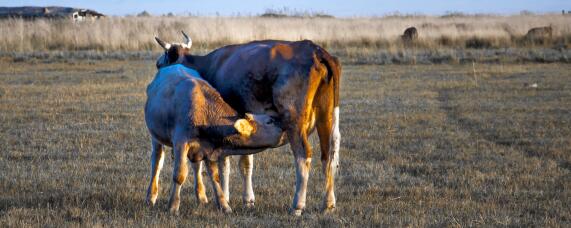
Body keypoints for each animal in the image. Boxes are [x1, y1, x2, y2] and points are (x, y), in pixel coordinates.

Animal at [154, 32, 342, 216]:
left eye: (164, 58)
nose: (158, 65)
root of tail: (314, 49)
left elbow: (224, 163)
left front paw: (225, 197)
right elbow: (246, 162)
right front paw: (248, 200)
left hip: (294, 121)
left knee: (303, 155)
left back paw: (298, 205)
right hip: (327, 116)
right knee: (329, 155)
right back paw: (329, 203)